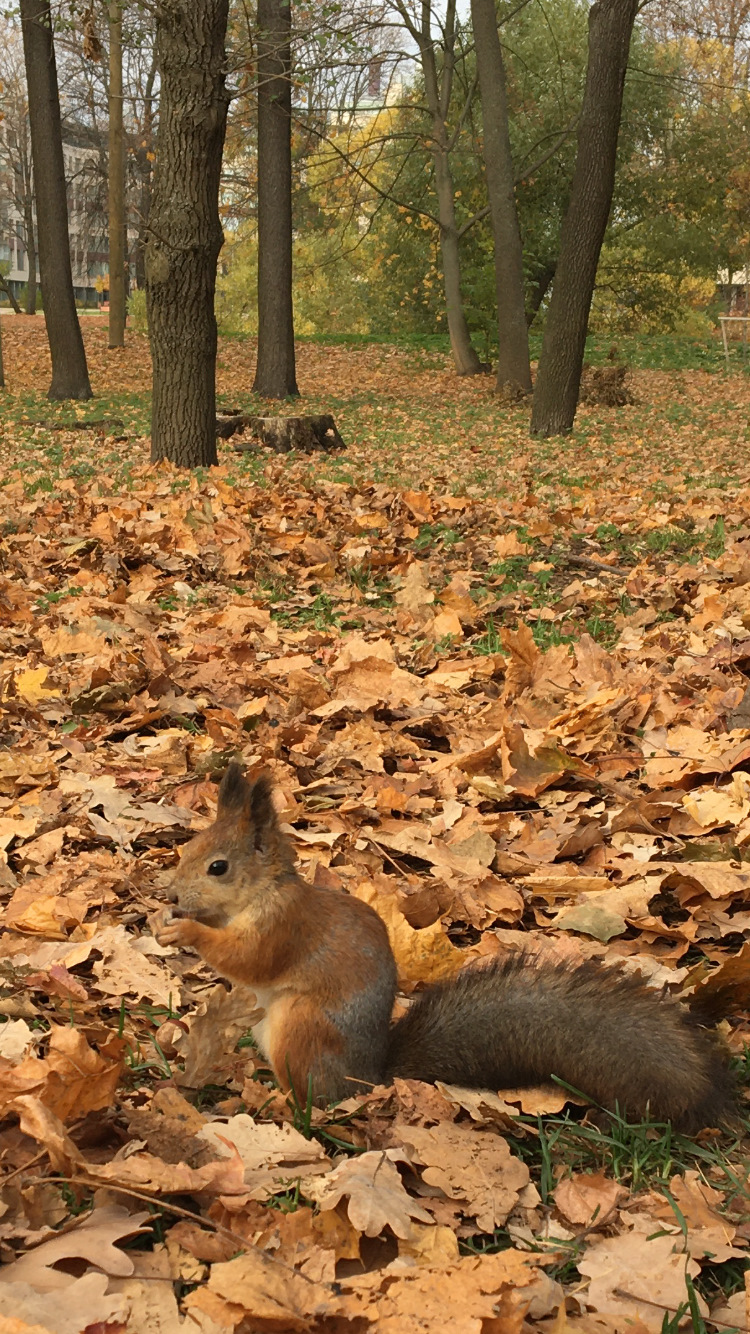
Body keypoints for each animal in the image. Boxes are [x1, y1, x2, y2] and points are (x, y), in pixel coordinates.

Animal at [154, 768, 731, 1131]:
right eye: (189, 848)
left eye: (219, 867)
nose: (172, 895)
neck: (260, 893)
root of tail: (368, 1078)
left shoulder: (284, 928)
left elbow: (247, 960)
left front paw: (185, 934)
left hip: (303, 1029)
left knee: (315, 1100)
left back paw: (278, 1103)